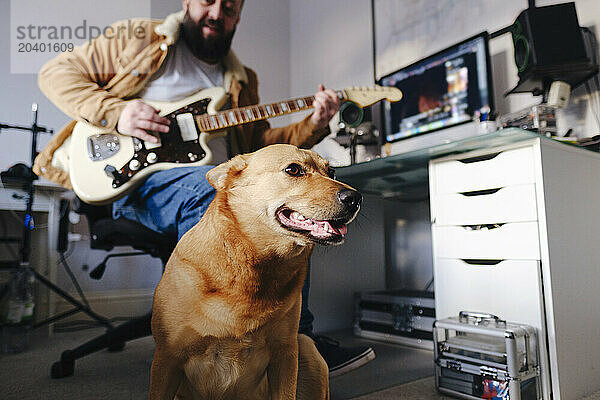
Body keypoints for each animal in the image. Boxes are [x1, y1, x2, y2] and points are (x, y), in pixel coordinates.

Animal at [149, 145, 360, 400]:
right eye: (293, 169)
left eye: (332, 172)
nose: (355, 198)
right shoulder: (167, 357)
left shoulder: (285, 354)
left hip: (307, 349)